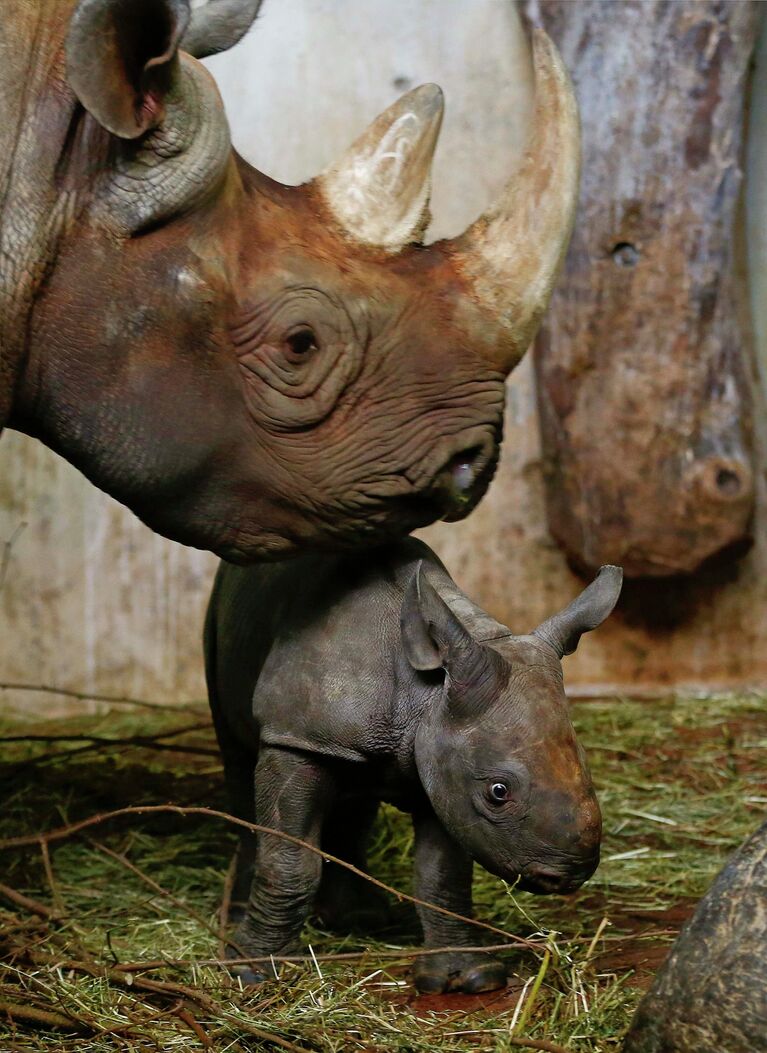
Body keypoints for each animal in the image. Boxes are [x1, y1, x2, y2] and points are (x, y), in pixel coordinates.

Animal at [205, 539, 623, 989]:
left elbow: (443, 875)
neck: (424, 691)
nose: (568, 875)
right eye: (498, 792)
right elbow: (289, 859)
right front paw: (253, 972)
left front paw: (470, 977)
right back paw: (238, 922)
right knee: (239, 766)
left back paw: (361, 918)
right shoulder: (298, 738)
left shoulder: (442, 767)